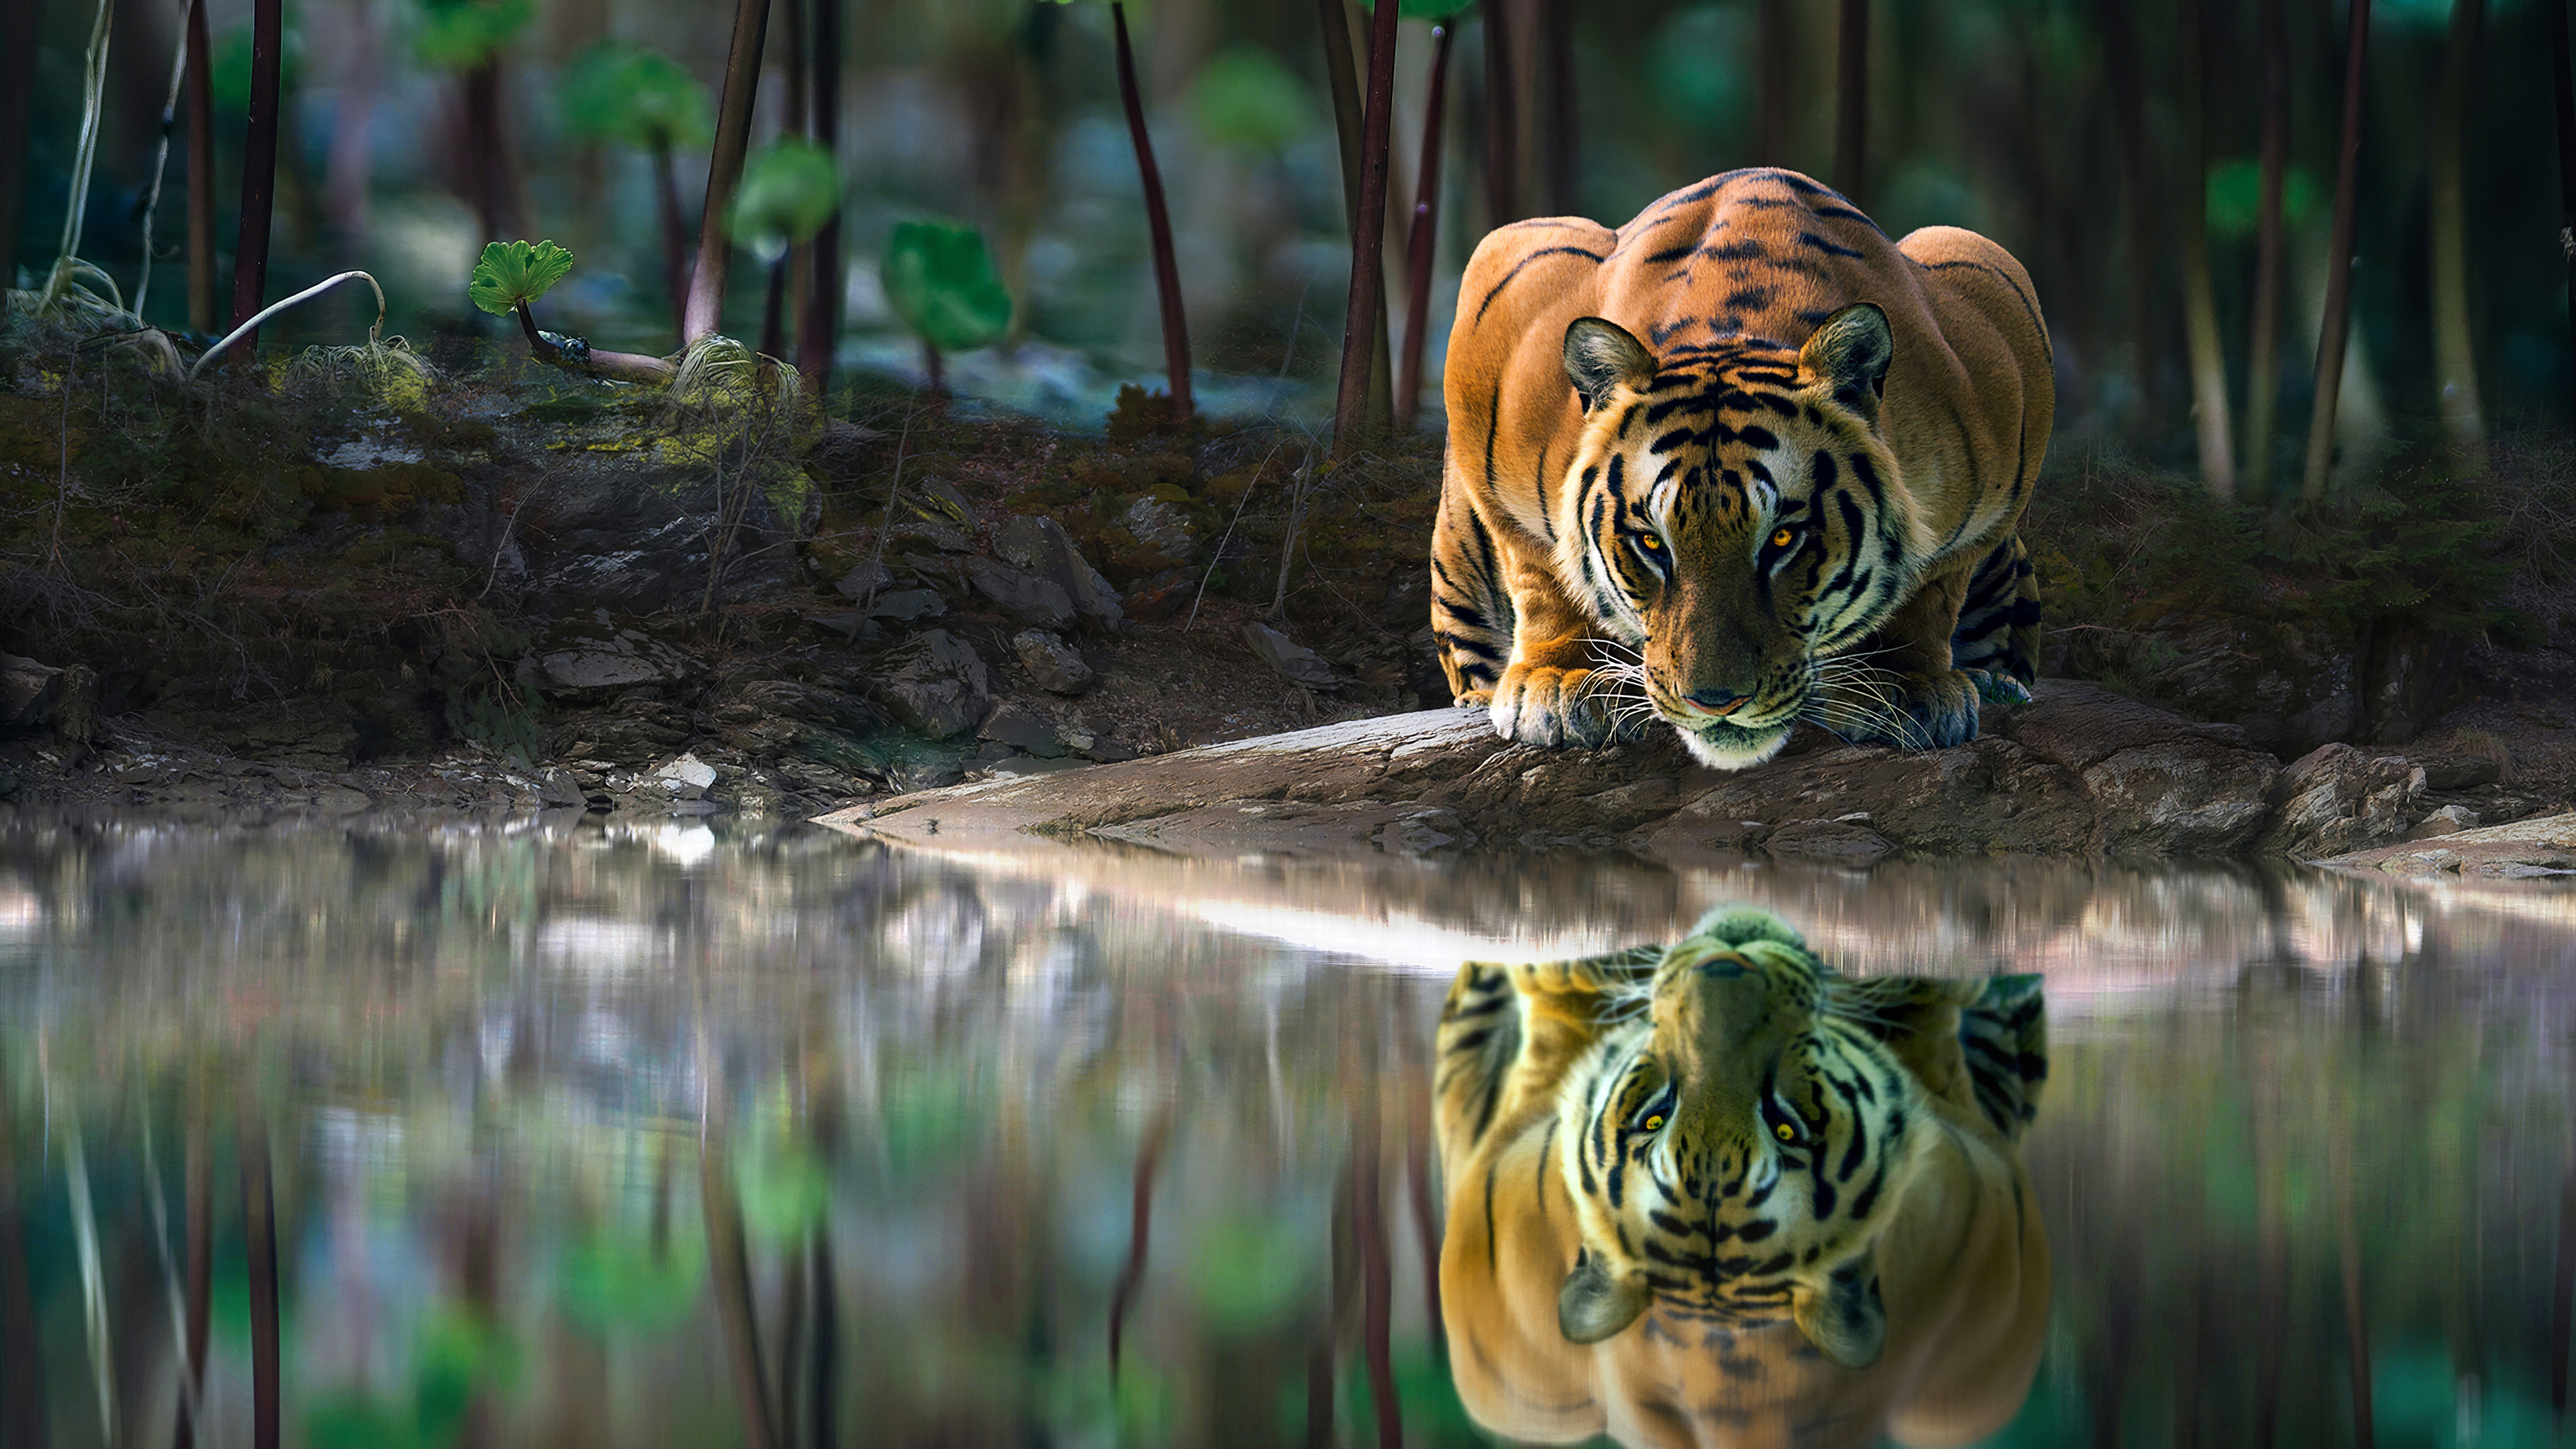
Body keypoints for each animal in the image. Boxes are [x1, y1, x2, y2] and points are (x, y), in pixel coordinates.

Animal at [1432, 168, 2050, 768]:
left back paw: (1996, 683)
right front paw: (1564, 682)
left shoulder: (2000, 323)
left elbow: (1932, 586)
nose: (1715, 702)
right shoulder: (1504, 291)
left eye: (1782, 540)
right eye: (1651, 543)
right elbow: (1542, 570)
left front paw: (1902, 684)